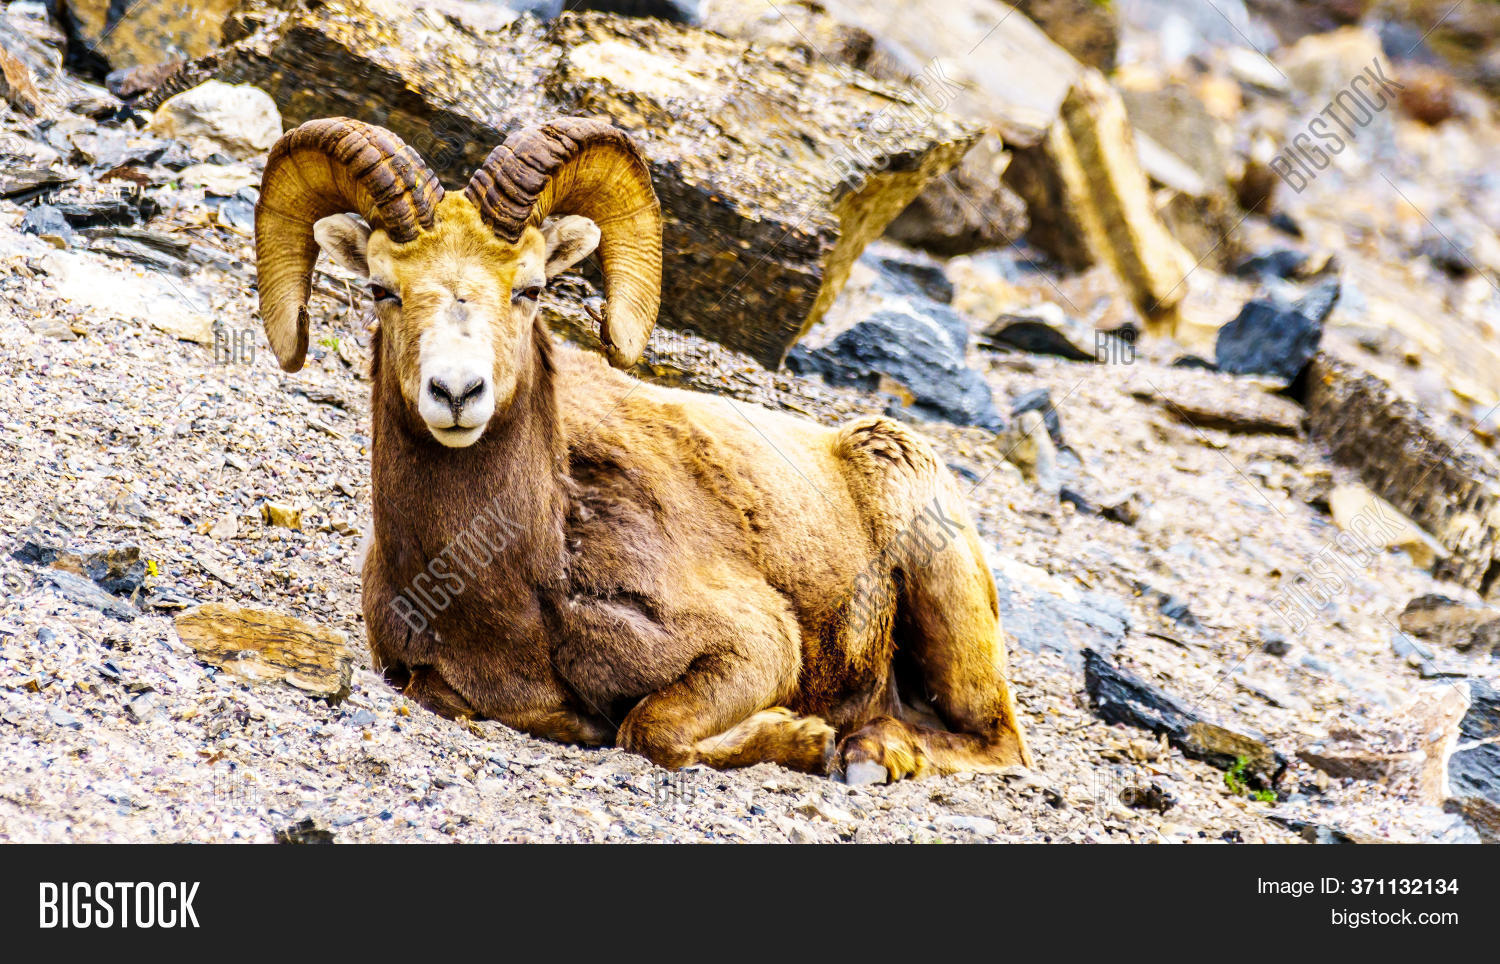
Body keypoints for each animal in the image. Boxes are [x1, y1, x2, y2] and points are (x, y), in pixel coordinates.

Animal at [254, 116, 1032, 781]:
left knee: (996, 740)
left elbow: (649, 729)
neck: (511, 586)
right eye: (382, 289)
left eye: (531, 287)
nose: (456, 392)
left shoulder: (757, 646)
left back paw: (872, 753)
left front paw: (806, 738)